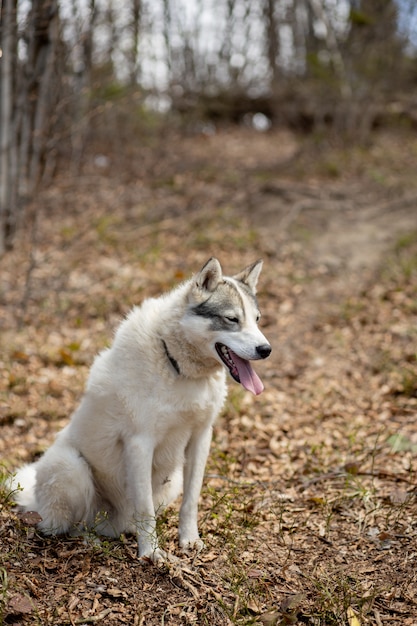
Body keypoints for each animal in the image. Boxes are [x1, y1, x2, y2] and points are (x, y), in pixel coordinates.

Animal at [11, 258, 272, 560]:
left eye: (257, 319)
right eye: (232, 319)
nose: (266, 350)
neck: (176, 365)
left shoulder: (201, 437)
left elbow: (191, 501)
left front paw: (189, 540)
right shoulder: (140, 443)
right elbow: (146, 510)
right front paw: (152, 554)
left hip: (171, 482)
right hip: (71, 467)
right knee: (68, 527)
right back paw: (91, 541)